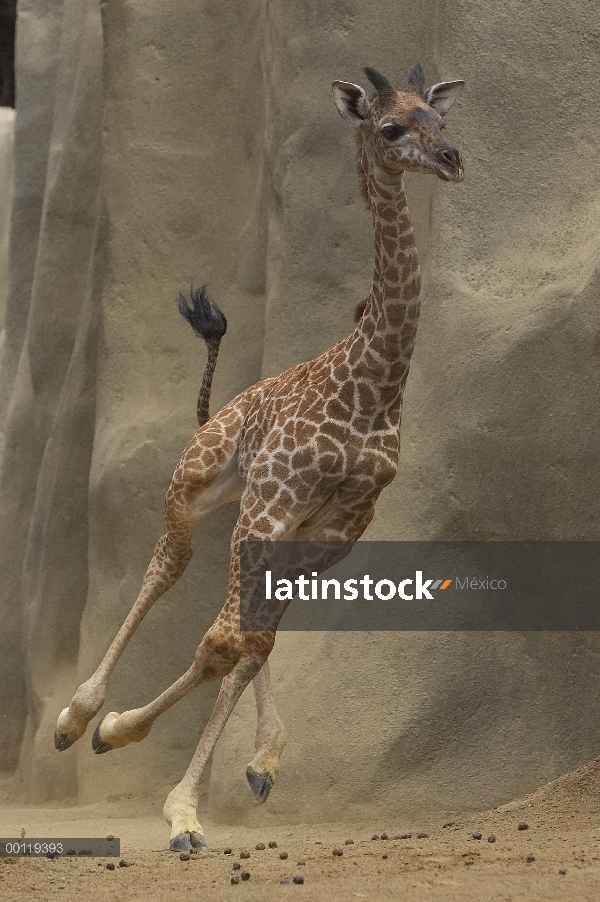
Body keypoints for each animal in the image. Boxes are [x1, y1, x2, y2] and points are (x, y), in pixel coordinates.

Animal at [52, 60, 464, 852]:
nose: (453, 159)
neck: (372, 387)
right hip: (199, 487)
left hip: (270, 522)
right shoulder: (271, 503)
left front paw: (227, 774)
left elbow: (251, 641)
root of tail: (221, 410)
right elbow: (225, 639)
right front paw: (180, 808)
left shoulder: (338, 526)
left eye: (441, 119)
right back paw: (78, 717)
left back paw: (212, 749)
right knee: (166, 568)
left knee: (246, 629)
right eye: (391, 127)